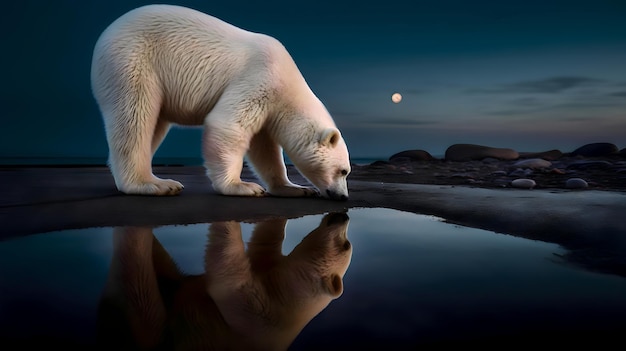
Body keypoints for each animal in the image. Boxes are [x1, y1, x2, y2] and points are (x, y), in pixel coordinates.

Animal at [90, 4, 348, 201]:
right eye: (343, 170)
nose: (343, 196)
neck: (288, 81)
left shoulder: (269, 107)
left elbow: (264, 148)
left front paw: (295, 188)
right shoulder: (259, 79)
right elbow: (228, 125)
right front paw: (242, 187)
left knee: (153, 125)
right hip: (133, 63)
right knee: (135, 117)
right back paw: (156, 184)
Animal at [97, 213, 352, 350]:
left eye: (345, 245)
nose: (343, 215)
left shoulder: (255, 317)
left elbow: (229, 282)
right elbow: (264, 245)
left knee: (140, 301)